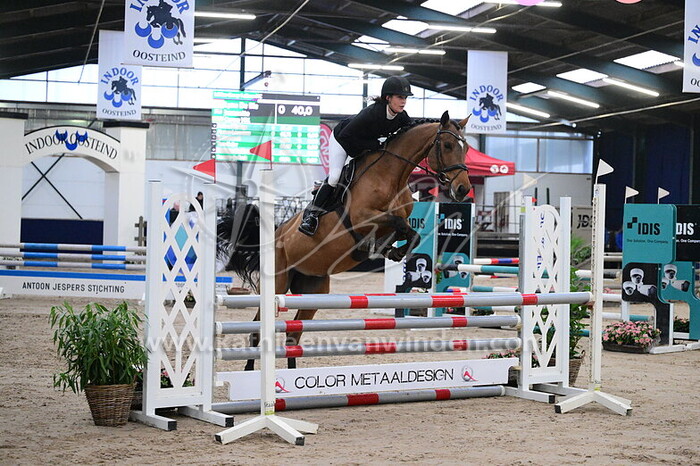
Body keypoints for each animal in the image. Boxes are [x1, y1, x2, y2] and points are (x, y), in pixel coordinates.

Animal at [218, 111, 473, 370]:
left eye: (466, 147)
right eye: (448, 145)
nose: (463, 189)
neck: (392, 176)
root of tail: (277, 234)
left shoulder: (396, 219)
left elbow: (407, 231)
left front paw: (393, 251)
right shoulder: (362, 217)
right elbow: (397, 223)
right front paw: (382, 248)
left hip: (314, 291)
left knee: (293, 335)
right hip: (277, 283)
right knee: (257, 332)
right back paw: (250, 370)